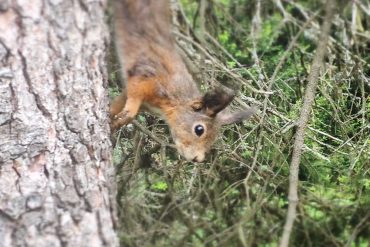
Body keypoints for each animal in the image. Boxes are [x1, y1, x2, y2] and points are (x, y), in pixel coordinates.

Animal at [110, 0, 254, 162]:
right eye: (199, 129)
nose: (198, 159)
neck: (171, 100)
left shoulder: (145, 103)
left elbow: (118, 103)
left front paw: (111, 118)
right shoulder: (144, 79)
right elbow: (130, 103)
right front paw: (118, 119)